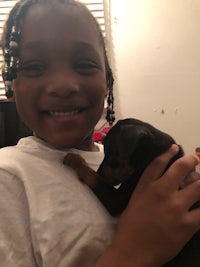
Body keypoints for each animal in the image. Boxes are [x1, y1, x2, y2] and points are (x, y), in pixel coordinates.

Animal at [63, 119, 200, 267]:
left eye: (113, 160)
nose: (100, 173)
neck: (153, 154)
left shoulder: (115, 200)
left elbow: (93, 177)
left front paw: (74, 159)